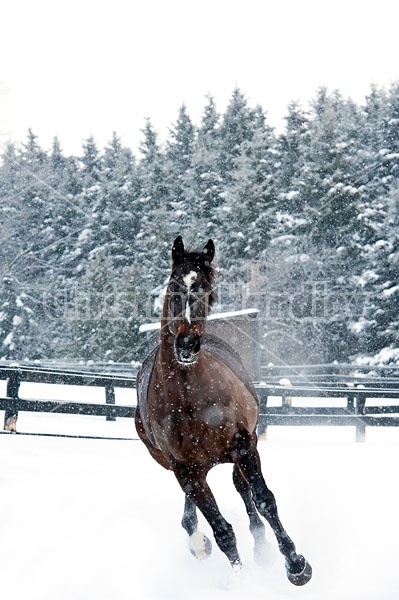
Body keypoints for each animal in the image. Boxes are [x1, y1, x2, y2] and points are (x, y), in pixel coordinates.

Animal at [136, 237, 314, 584]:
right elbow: (222, 531)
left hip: (241, 449)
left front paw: (297, 565)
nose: (186, 344)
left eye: (205, 289)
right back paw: (199, 542)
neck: (189, 398)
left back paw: (261, 547)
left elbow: (264, 500)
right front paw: (241, 581)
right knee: (196, 510)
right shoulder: (184, 468)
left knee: (243, 489)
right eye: (174, 284)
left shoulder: (243, 444)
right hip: (188, 467)